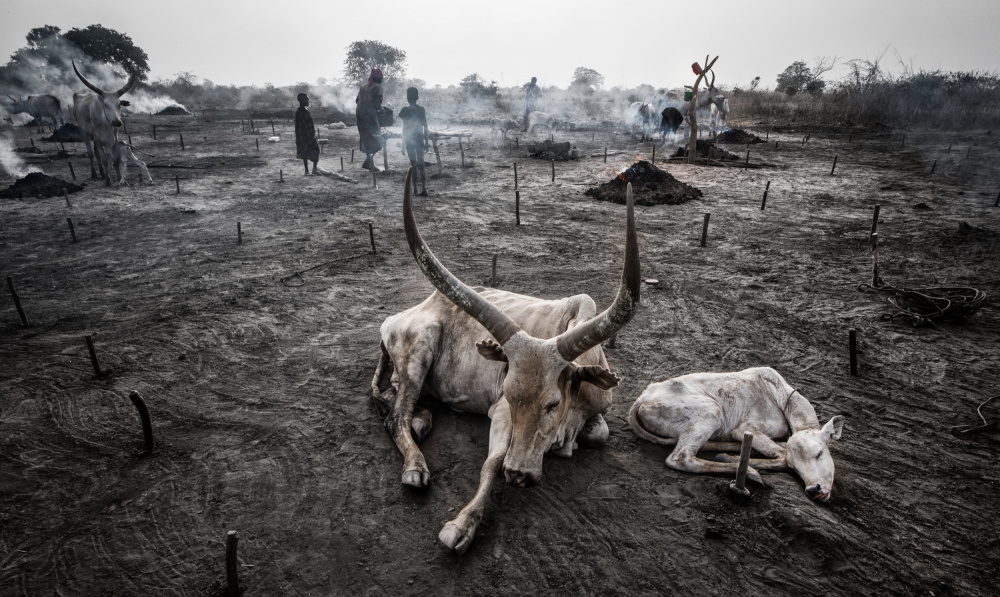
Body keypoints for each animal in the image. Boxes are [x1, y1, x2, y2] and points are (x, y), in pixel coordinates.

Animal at [374, 169, 640, 556]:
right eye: (510, 395)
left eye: (553, 403)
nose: (518, 475)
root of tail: (403, 314)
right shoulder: (499, 411)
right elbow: (492, 461)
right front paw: (462, 525)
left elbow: (599, 434)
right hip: (419, 349)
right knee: (395, 417)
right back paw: (415, 466)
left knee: (392, 399)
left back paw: (422, 420)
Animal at [632, 366, 844, 500]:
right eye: (795, 468)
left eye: (819, 453)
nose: (814, 490)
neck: (781, 399)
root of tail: (642, 398)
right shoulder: (744, 428)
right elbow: (782, 456)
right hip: (712, 411)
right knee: (681, 458)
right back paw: (749, 471)